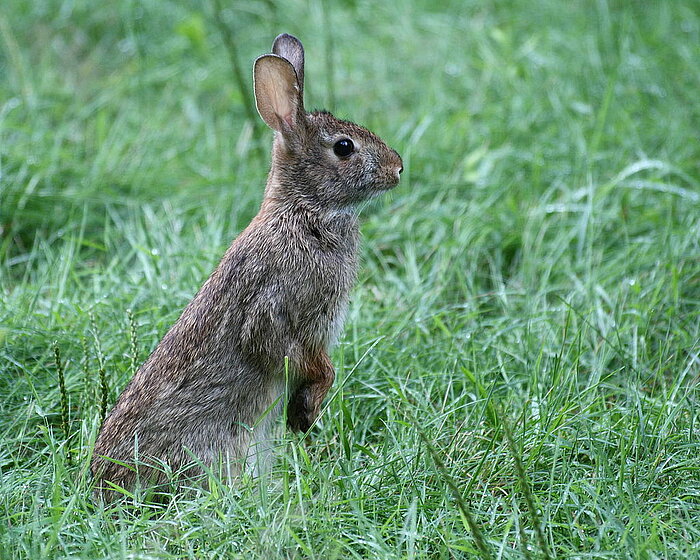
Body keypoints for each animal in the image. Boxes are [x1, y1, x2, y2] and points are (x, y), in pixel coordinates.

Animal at [90, 34, 402, 498]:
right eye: (344, 147)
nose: (398, 168)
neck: (304, 212)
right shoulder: (277, 310)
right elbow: (297, 356)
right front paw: (308, 411)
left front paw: (302, 415)